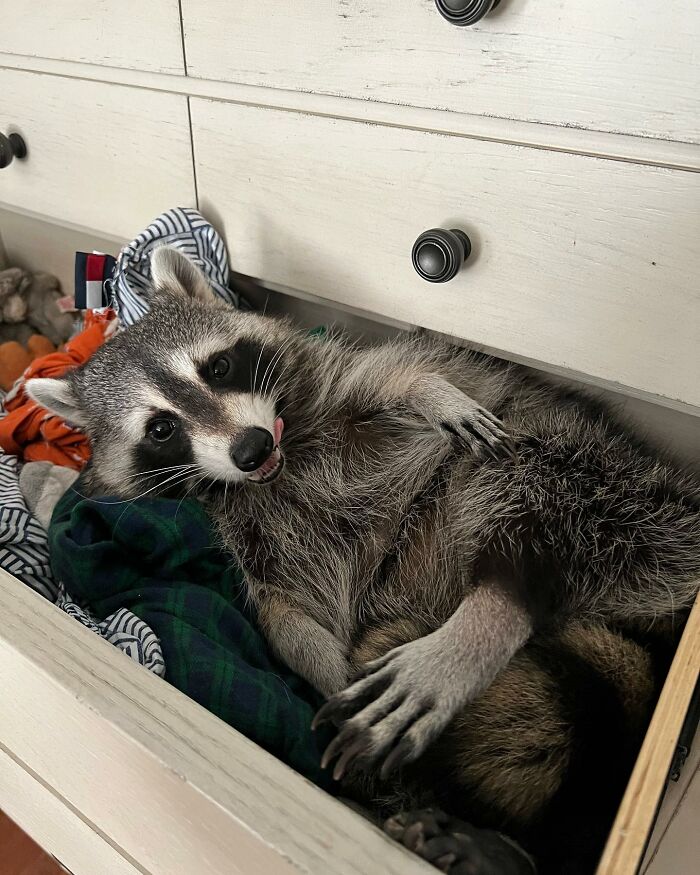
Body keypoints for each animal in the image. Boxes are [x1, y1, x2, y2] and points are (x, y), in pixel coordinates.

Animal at [28, 247, 700, 874]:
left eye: (218, 367)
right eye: (162, 429)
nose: (251, 448)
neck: (279, 468)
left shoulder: (339, 385)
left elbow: (399, 373)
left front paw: (432, 391)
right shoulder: (249, 544)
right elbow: (284, 620)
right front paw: (325, 666)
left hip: (612, 483)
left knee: (535, 485)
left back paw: (486, 619)